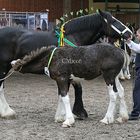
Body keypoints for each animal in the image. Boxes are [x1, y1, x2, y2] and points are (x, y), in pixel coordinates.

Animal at [0, 9, 132, 119]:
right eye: (113, 21)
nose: (130, 33)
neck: (72, 36)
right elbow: (76, 90)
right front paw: (77, 113)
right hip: (3, 67)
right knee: (1, 87)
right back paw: (7, 112)